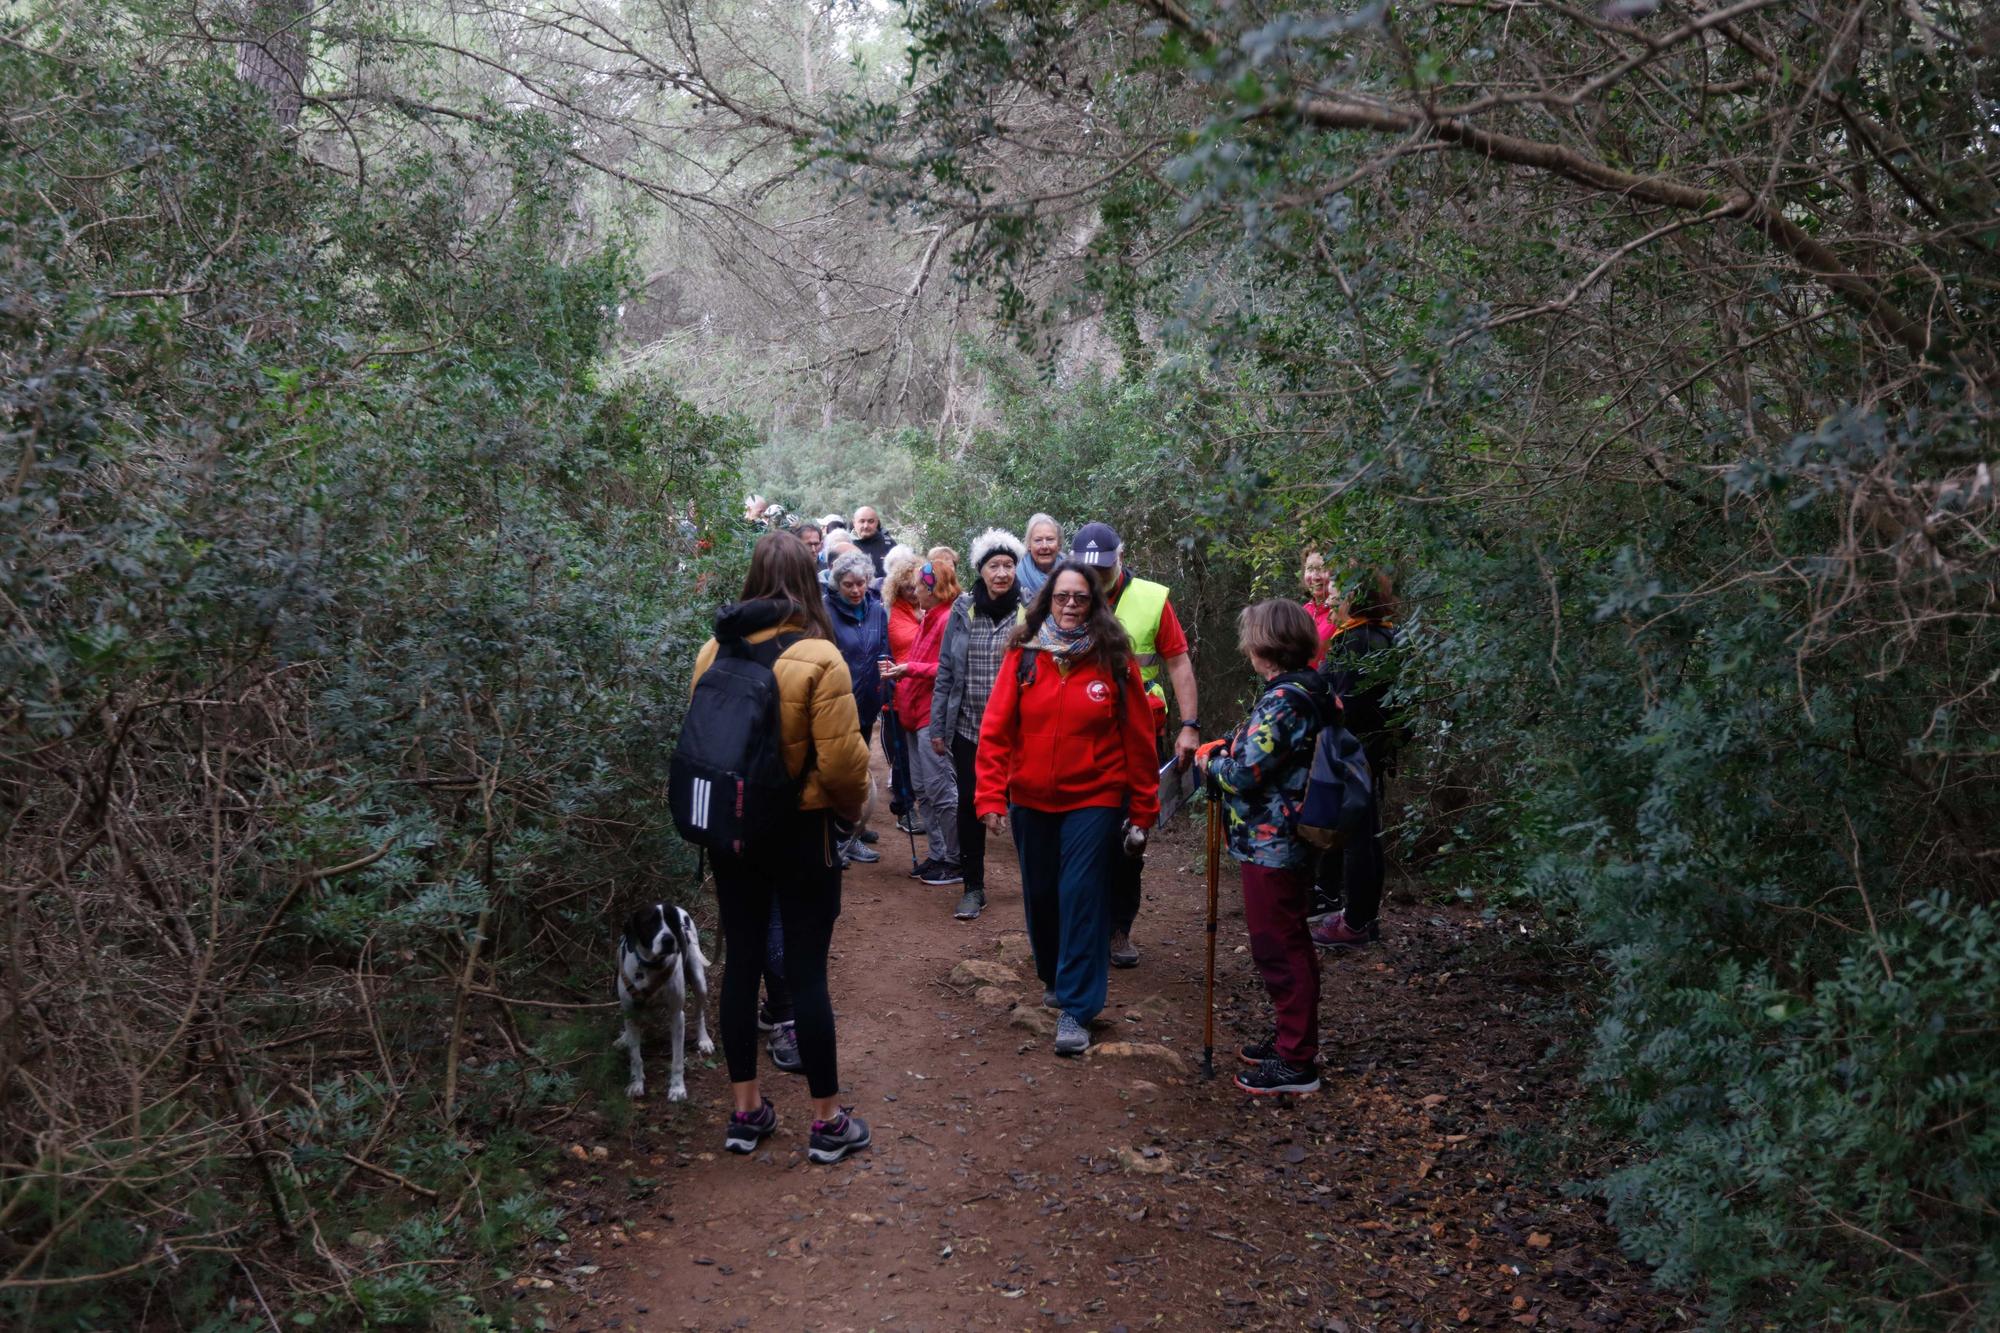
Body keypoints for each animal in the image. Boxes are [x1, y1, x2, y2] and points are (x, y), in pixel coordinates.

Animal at [612, 904, 716, 1096]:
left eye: (671, 921)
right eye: (649, 923)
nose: (668, 940)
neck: (651, 967)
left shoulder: (676, 1016)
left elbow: (677, 1060)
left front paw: (677, 1088)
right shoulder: (631, 1011)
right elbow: (635, 1056)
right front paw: (636, 1083)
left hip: (699, 980)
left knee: (699, 1013)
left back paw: (704, 1040)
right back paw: (624, 1038)